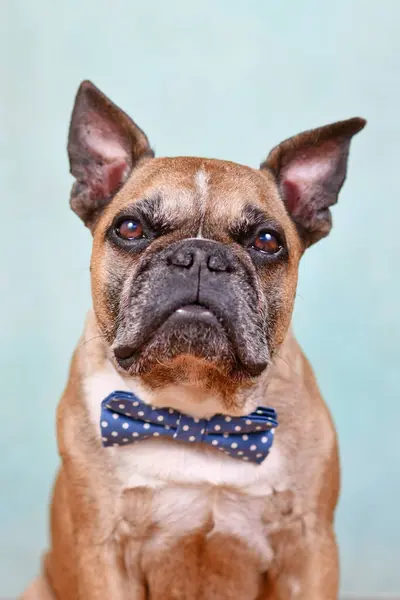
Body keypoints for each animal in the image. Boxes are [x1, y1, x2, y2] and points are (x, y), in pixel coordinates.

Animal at [21, 81, 366, 600]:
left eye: (267, 241)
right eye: (130, 228)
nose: (201, 256)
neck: (194, 405)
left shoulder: (309, 549)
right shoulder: (104, 550)